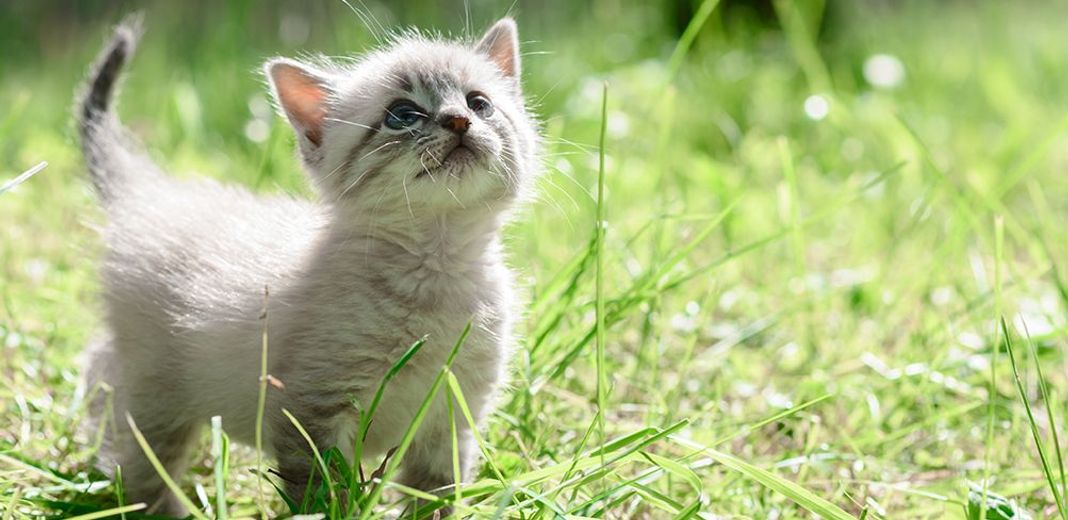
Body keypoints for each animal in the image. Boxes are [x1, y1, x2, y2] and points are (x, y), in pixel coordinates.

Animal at [77, 12, 538, 516]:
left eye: (479, 103)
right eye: (402, 114)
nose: (459, 120)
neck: (437, 264)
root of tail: (150, 192)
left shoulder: (450, 417)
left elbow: (435, 495)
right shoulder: (312, 409)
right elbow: (321, 493)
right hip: (156, 396)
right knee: (142, 466)